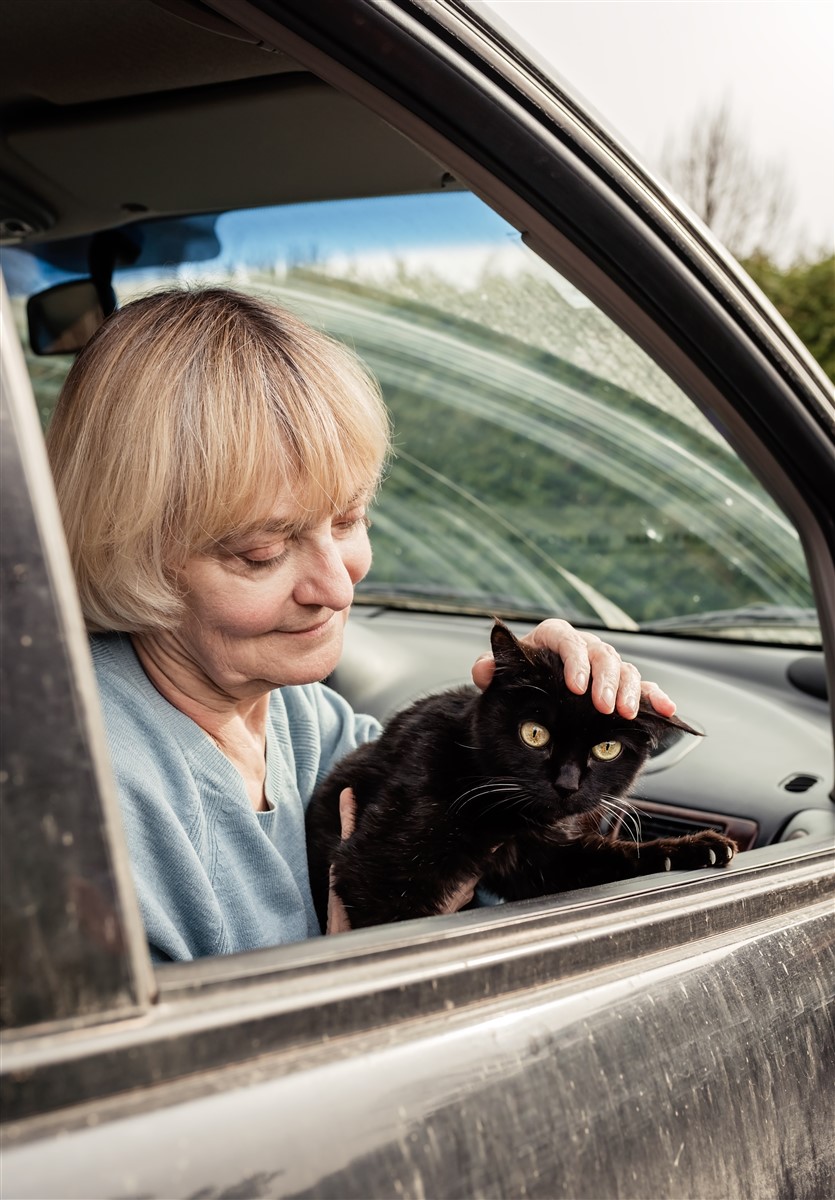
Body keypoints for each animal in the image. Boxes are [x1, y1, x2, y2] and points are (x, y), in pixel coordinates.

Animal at [303, 624, 734, 931]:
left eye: (607, 749)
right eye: (534, 733)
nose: (566, 784)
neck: (506, 819)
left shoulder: (542, 860)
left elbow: (610, 858)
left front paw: (695, 849)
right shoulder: (379, 872)